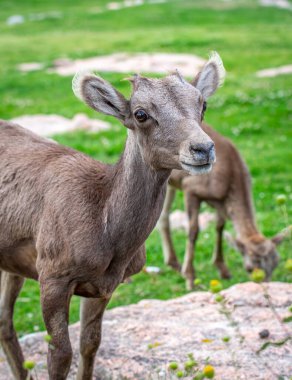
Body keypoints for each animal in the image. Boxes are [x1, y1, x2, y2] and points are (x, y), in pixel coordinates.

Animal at [0, 52, 225, 378]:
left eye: (202, 104)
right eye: (141, 114)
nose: (202, 149)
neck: (106, 230)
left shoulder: (102, 287)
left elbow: (90, 345)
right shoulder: (52, 278)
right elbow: (60, 356)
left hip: (11, 265)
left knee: (4, 323)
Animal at [159, 123, 286, 290]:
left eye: (276, 263)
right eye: (249, 268)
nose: (265, 287)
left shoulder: (220, 202)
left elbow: (220, 227)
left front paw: (223, 269)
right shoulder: (190, 188)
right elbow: (193, 231)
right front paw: (190, 278)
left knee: (163, 215)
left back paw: (173, 263)